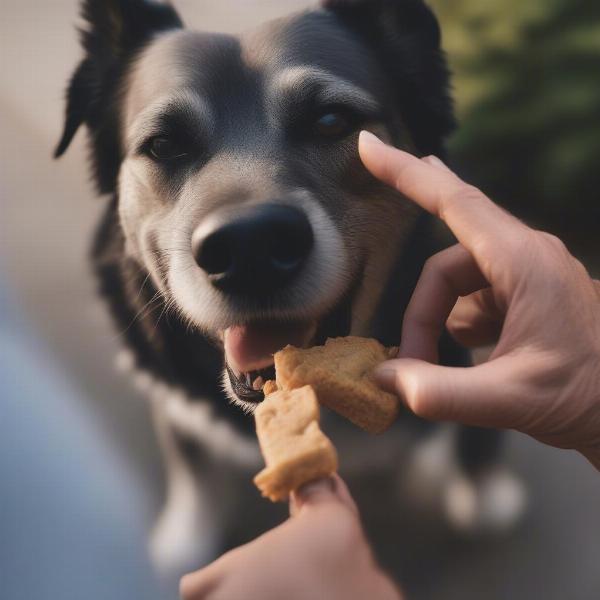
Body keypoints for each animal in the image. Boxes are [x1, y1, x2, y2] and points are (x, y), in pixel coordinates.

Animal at [56, 0, 524, 580]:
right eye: (164, 145)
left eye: (330, 121)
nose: (249, 247)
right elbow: (190, 460)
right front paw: (186, 536)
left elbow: (478, 430)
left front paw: (484, 493)